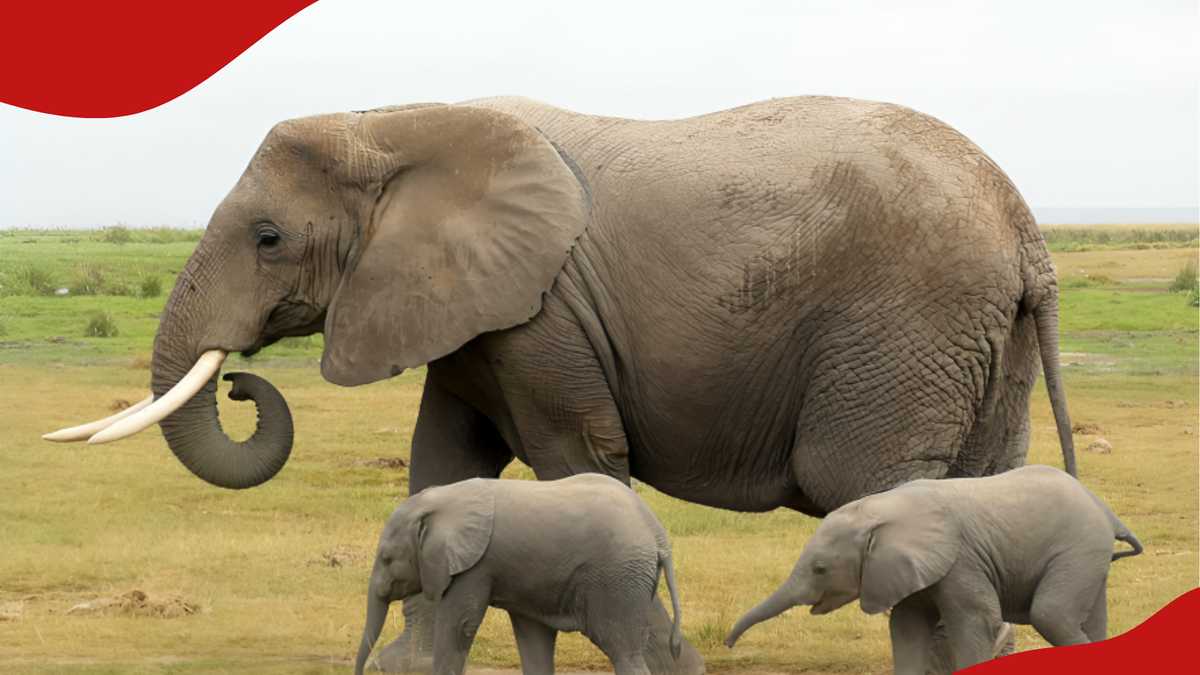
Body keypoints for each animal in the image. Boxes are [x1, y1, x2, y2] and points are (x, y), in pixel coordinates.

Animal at [354, 473, 683, 675]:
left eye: (387, 559)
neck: (442, 501)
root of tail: (658, 534)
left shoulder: (473, 567)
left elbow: (460, 626)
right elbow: (531, 635)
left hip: (618, 578)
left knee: (621, 648)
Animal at [724, 465, 1143, 673]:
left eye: (821, 569)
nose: (728, 645)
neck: (881, 511)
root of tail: (1106, 510)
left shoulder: (961, 561)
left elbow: (974, 622)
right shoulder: (904, 569)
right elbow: (906, 627)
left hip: (1078, 547)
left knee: (1051, 614)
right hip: (1087, 554)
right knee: (1089, 618)